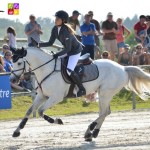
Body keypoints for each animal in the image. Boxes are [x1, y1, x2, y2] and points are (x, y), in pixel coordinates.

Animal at [12, 47, 150, 142]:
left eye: (19, 63)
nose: (13, 79)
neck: (46, 70)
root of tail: (123, 68)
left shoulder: (56, 97)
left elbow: (40, 111)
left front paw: (58, 121)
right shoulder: (41, 96)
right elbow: (29, 111)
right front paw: (17, 131)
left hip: (105, 93)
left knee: (105, 112)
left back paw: (90, 130)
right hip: (103, 93)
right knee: (104, 112)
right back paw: (92, 133)